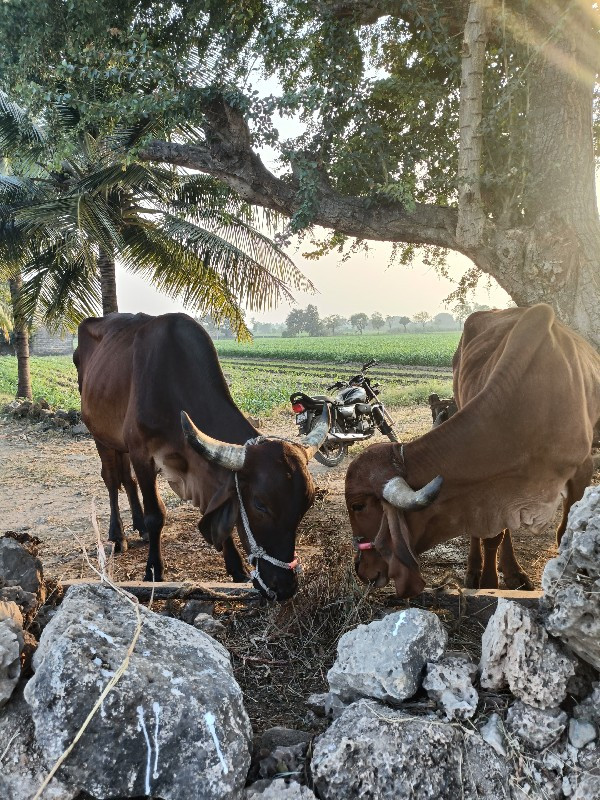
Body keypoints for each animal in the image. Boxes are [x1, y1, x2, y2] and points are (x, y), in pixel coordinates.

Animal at [346, 304, 600, 596]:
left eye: (358, 506)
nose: (360, 569)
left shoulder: (582, 470)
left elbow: (564, 534)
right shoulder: (490, 490)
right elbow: (492, 536)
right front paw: (489, 583)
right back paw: (478, 570)